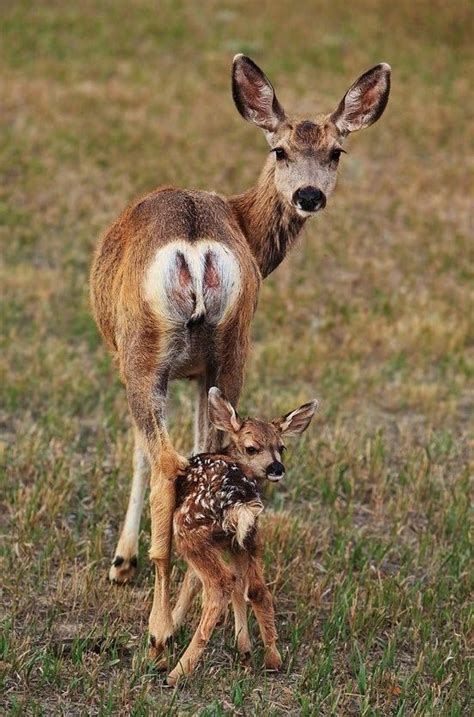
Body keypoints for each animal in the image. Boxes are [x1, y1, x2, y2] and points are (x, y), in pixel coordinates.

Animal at [90, 54, 390, 660]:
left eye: (336, 151)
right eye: (281, 150)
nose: (309, 195)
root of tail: (195, 244)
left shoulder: (141, 365)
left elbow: (138, 451)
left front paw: (121, 562)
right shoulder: (199, 375)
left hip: (144, 351)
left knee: (169, 461)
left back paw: (160, 627)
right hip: (231, 348)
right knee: (212, 454)